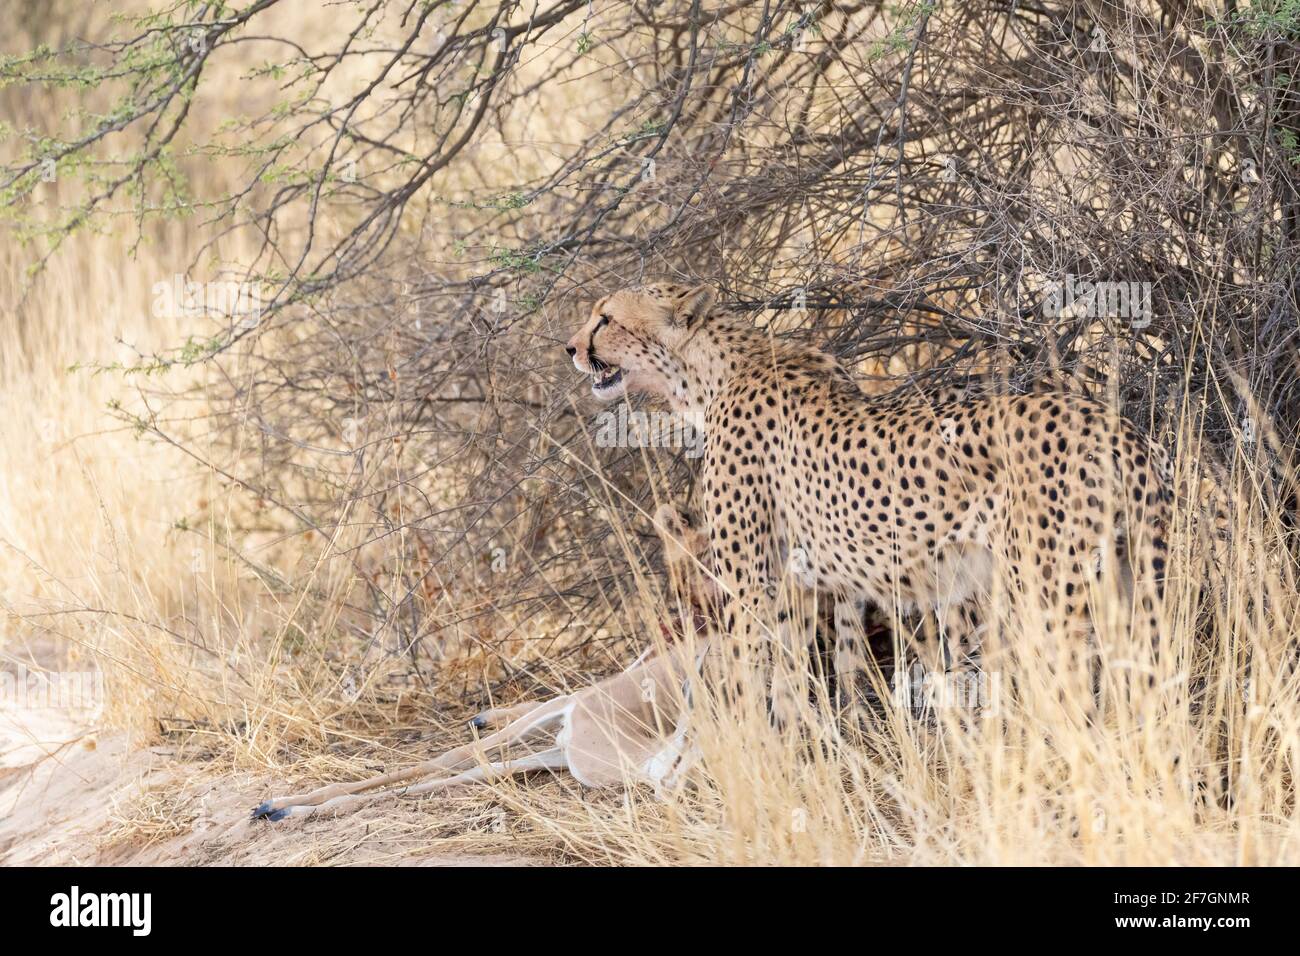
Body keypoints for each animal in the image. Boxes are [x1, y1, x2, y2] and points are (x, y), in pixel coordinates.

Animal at [564, 277, 1175, 717]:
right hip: (1124, 578)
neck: (706, 374)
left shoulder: (749, 580)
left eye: (605, 318)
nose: (570, 347)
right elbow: (808, 675)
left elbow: (748, 678)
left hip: (1048, 590)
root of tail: (1115, 426)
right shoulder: (805, 583)